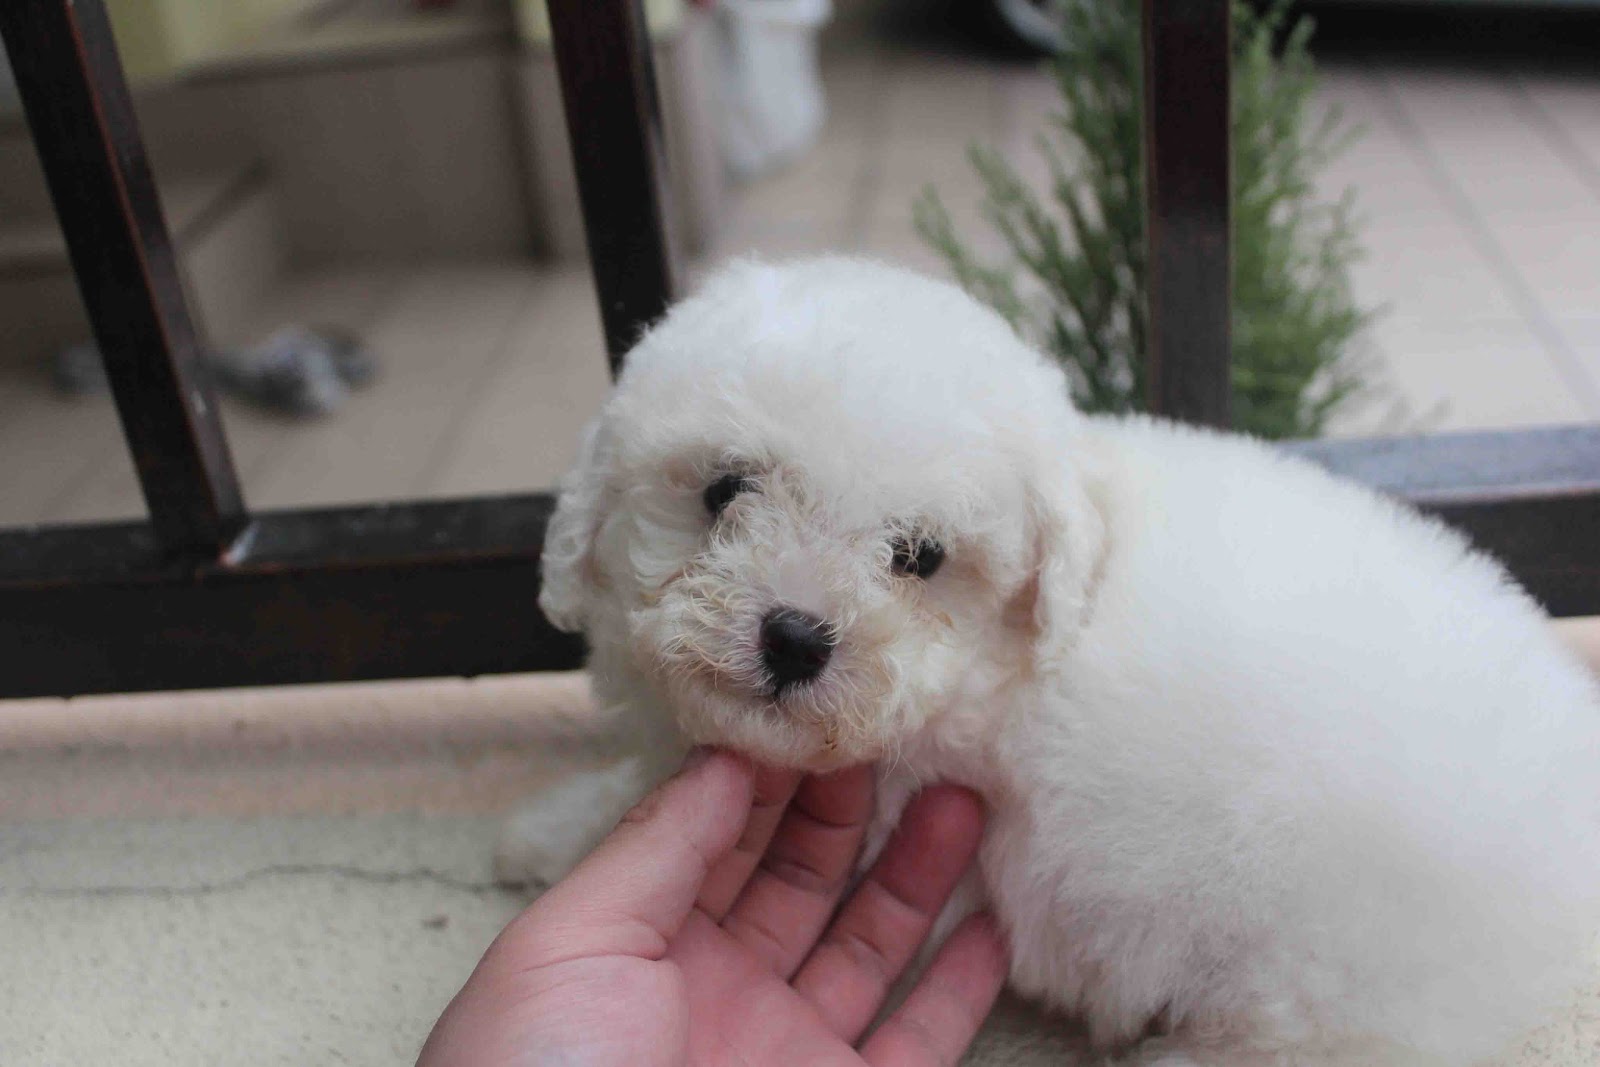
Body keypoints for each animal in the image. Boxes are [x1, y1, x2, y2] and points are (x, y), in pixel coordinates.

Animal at [508, 254, 1600, 1062]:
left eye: (919, 556)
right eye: (724, 490)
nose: (795, 636)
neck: (1000, 660)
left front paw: (558, 841)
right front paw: (556, 824)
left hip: (1332, 980)